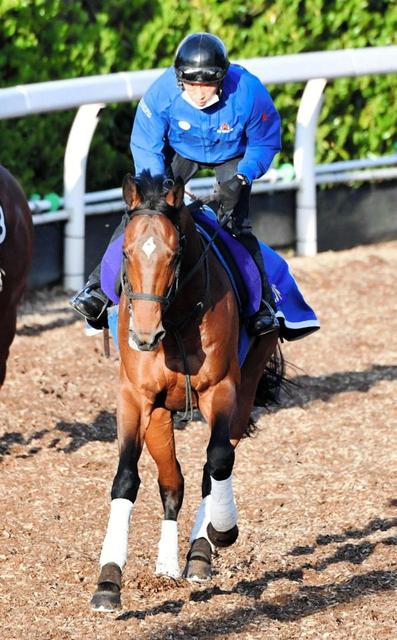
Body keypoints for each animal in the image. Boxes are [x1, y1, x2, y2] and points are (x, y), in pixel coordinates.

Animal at [90, 172, 282, 612]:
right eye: (124, 252)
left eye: (175, 255)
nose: (144, 335)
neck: (175, 320)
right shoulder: (135, 397)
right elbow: (126, 478)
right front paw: (108, 580)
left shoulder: (223, 389)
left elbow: (219, 459)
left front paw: (222, 531)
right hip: (160, 416)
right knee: (172, 480)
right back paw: (166, 563)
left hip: (246, 387)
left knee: (215, 465)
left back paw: (200, 551)